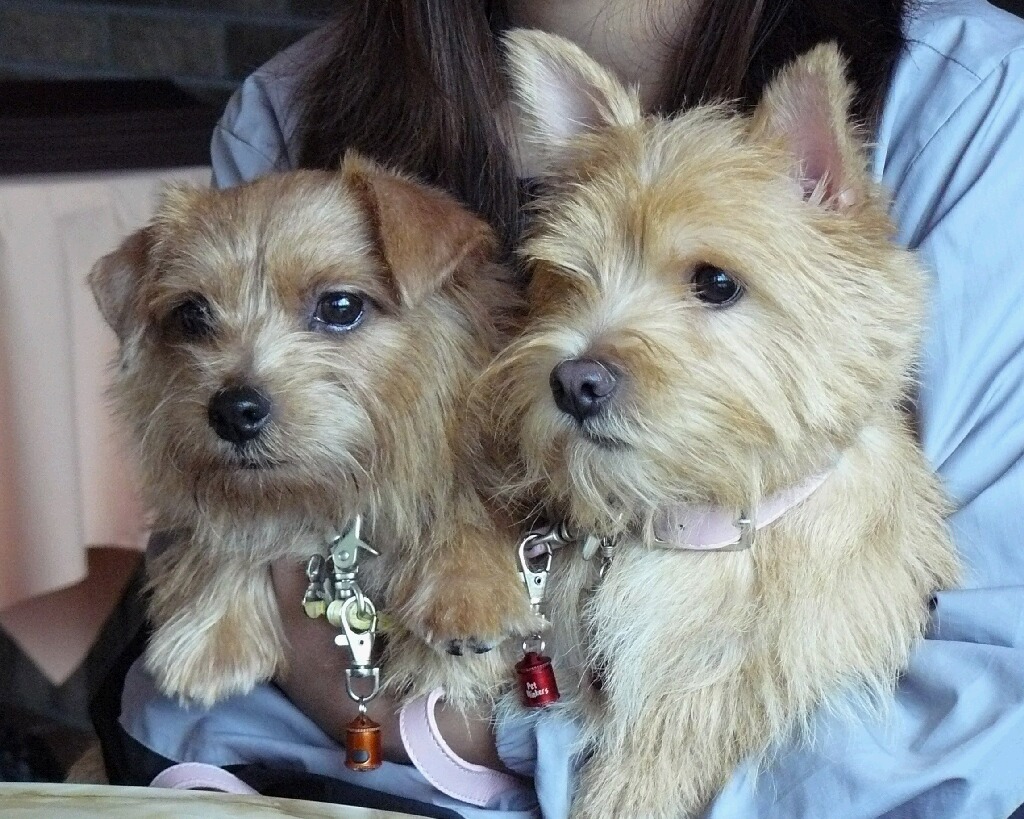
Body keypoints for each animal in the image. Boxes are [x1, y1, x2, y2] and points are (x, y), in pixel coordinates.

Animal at [88, 152, 539, 708]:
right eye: (192, 315)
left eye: (340, 307)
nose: (233, 410)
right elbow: (226, 524)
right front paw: (214, 629)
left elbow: (468, 492)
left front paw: (468, 588)